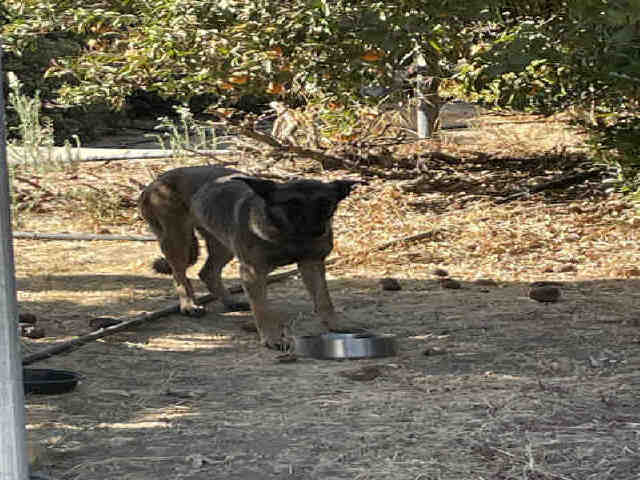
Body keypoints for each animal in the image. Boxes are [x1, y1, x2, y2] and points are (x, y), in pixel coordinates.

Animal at [139, 167, 358, 346]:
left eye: (326, 203)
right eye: (291, 204)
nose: (316, 231)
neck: (288, 237)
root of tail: (155, 182)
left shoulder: (311, 264)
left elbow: (324, 300)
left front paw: (336, 325)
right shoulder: (253, 273)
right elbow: (261, 309)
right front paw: (272, 338)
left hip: (223, 245)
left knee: (207, 272)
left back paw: (230, 302)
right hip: (178, 241)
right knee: (180, 275)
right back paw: (189, 305)